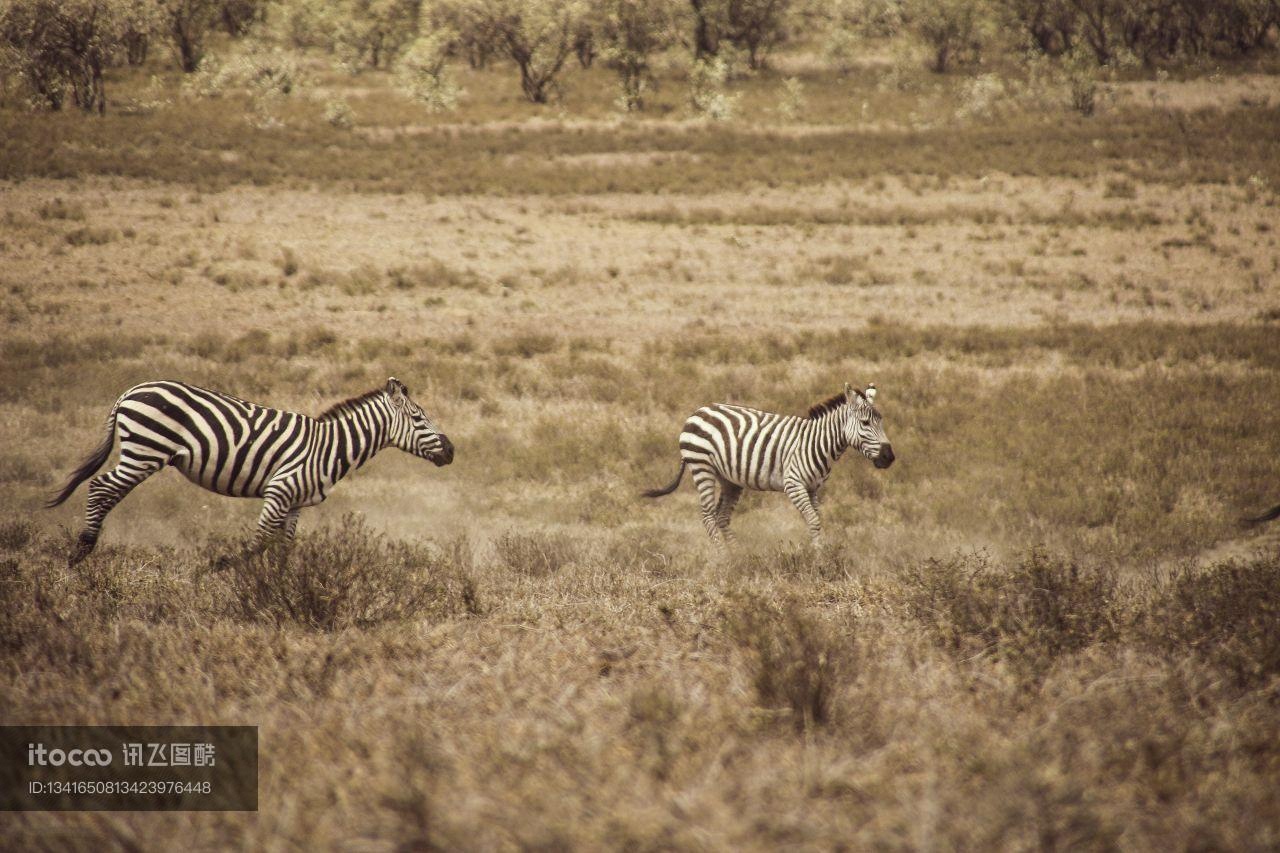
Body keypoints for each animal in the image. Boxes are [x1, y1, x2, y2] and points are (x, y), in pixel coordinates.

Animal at [46, 373, 455, 560]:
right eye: (418, 418)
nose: (451, 451)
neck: (330, 446)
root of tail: (129, 391)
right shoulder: (279, 491)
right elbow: (258, 544)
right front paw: (235, 574)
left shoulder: (296, 503)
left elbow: (284, 549)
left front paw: (284, 587)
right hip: (146, 449)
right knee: (102, 487)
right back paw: (81, 551)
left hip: (142, 450)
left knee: (105, 490)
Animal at [645, 384, 896, 545]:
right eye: (865, 423)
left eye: (881, 421)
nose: (889, 457)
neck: (817, 442)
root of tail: (697, 411)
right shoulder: (794, 484)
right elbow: (814, 521)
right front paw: (820, 559)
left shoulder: (812, 488)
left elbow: (816, 521)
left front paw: (822, 553)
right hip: (701, 466)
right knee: (707, 516)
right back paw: (721, 557)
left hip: (728, 478)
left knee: (721, 517)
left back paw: (736, 557)